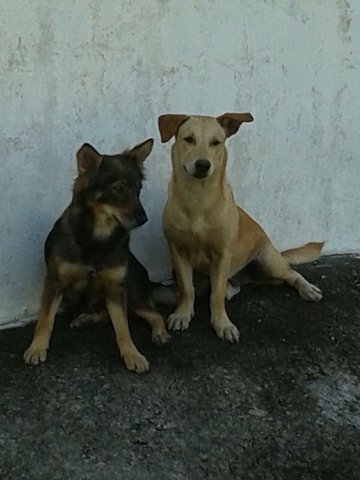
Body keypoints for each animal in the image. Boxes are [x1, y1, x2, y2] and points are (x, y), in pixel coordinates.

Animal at [23, 138, 170, 372]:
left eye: (138, 189)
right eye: (118, 188)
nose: (143, 219)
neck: (96, 238)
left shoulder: (116, 288)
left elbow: (123, 327)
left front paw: (132, 354)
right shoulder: (55, 282)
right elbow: (45, 319)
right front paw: (37, 348)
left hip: (131, 295)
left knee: (154, 314)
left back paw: (159, 333)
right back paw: (87, 318)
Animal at [158, 114, 324, 344]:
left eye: (216, 142)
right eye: (189, 139)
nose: (203, 164)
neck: (198, 199)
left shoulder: (222, 254)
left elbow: (216, 295)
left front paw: (222, 324)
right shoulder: (177, 250)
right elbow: (187, 288)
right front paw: (183, 313)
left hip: (269, 262)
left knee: (292, 274)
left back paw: (307, 288)